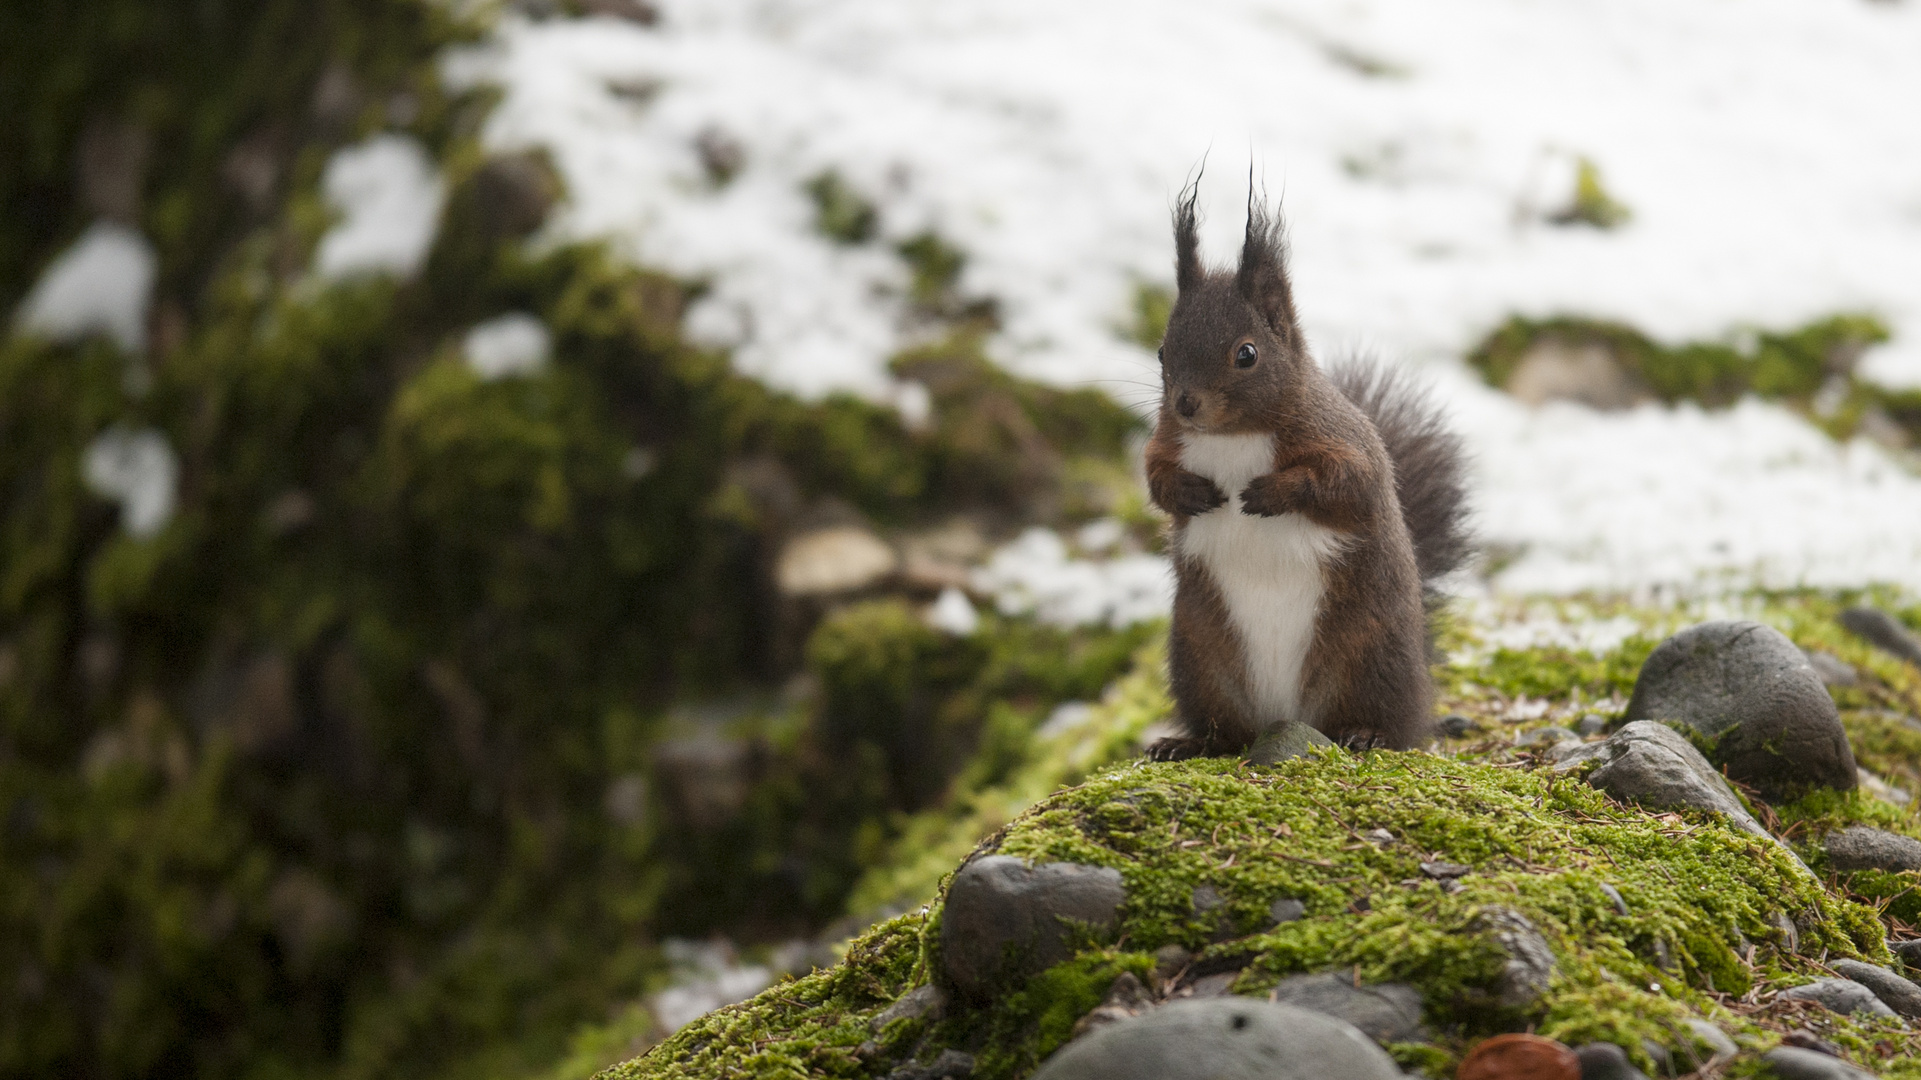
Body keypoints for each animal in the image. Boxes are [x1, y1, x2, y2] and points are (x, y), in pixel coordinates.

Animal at [1137, 182, 1467, 757]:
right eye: (1161, 351)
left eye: (1247, 353)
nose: (1185, 404)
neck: (1234, 436)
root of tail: (1286, 716)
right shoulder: (1166, 439)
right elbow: (1154, 474)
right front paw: (1189, 492)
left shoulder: (1345, 441)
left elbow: (1346, 483)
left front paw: (1272, 493)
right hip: (1199, 661)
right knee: (1226, 731)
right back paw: (1190, 743)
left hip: (1371, 655)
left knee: (1393, 722)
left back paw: (1368, 732)